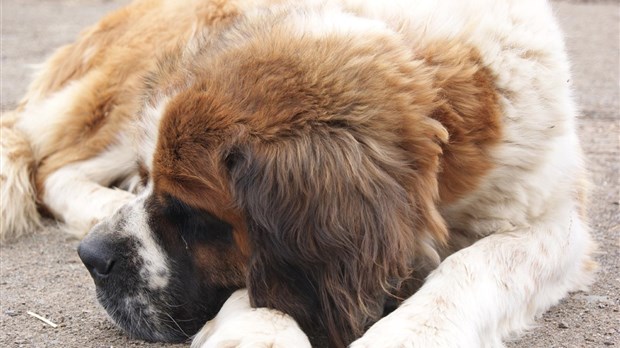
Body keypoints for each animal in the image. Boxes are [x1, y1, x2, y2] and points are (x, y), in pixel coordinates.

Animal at [2, 0, 600, 346]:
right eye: (155, 183)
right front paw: (259, 330)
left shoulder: (557, 215)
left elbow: (480, 262)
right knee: (55, 168)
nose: (91, 259)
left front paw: (410, 332)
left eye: (189, 212)